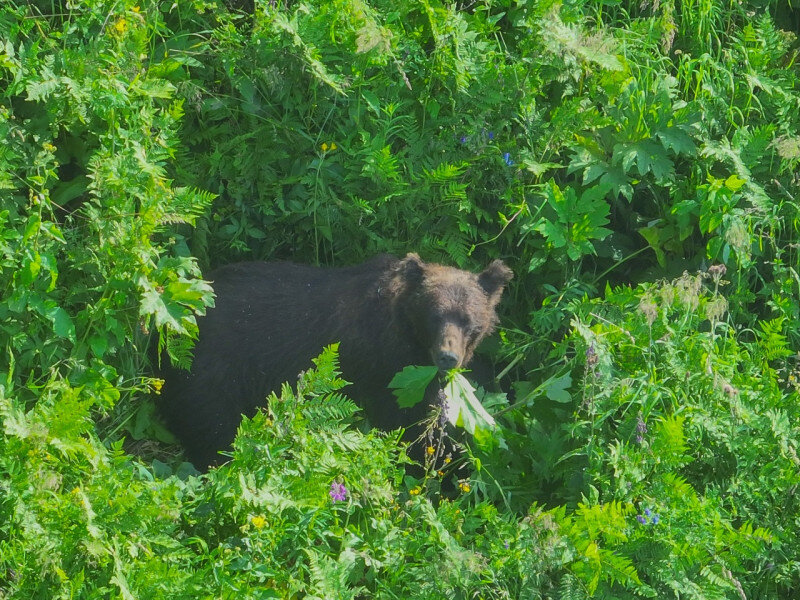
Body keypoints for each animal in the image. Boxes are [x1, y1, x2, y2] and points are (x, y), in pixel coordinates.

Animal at [160, 253, 512, 468]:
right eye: (435, 316)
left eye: (468, 320)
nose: (447, 357)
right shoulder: (382, 369)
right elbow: (406, 423)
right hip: (213, 367)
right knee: (215, 425)